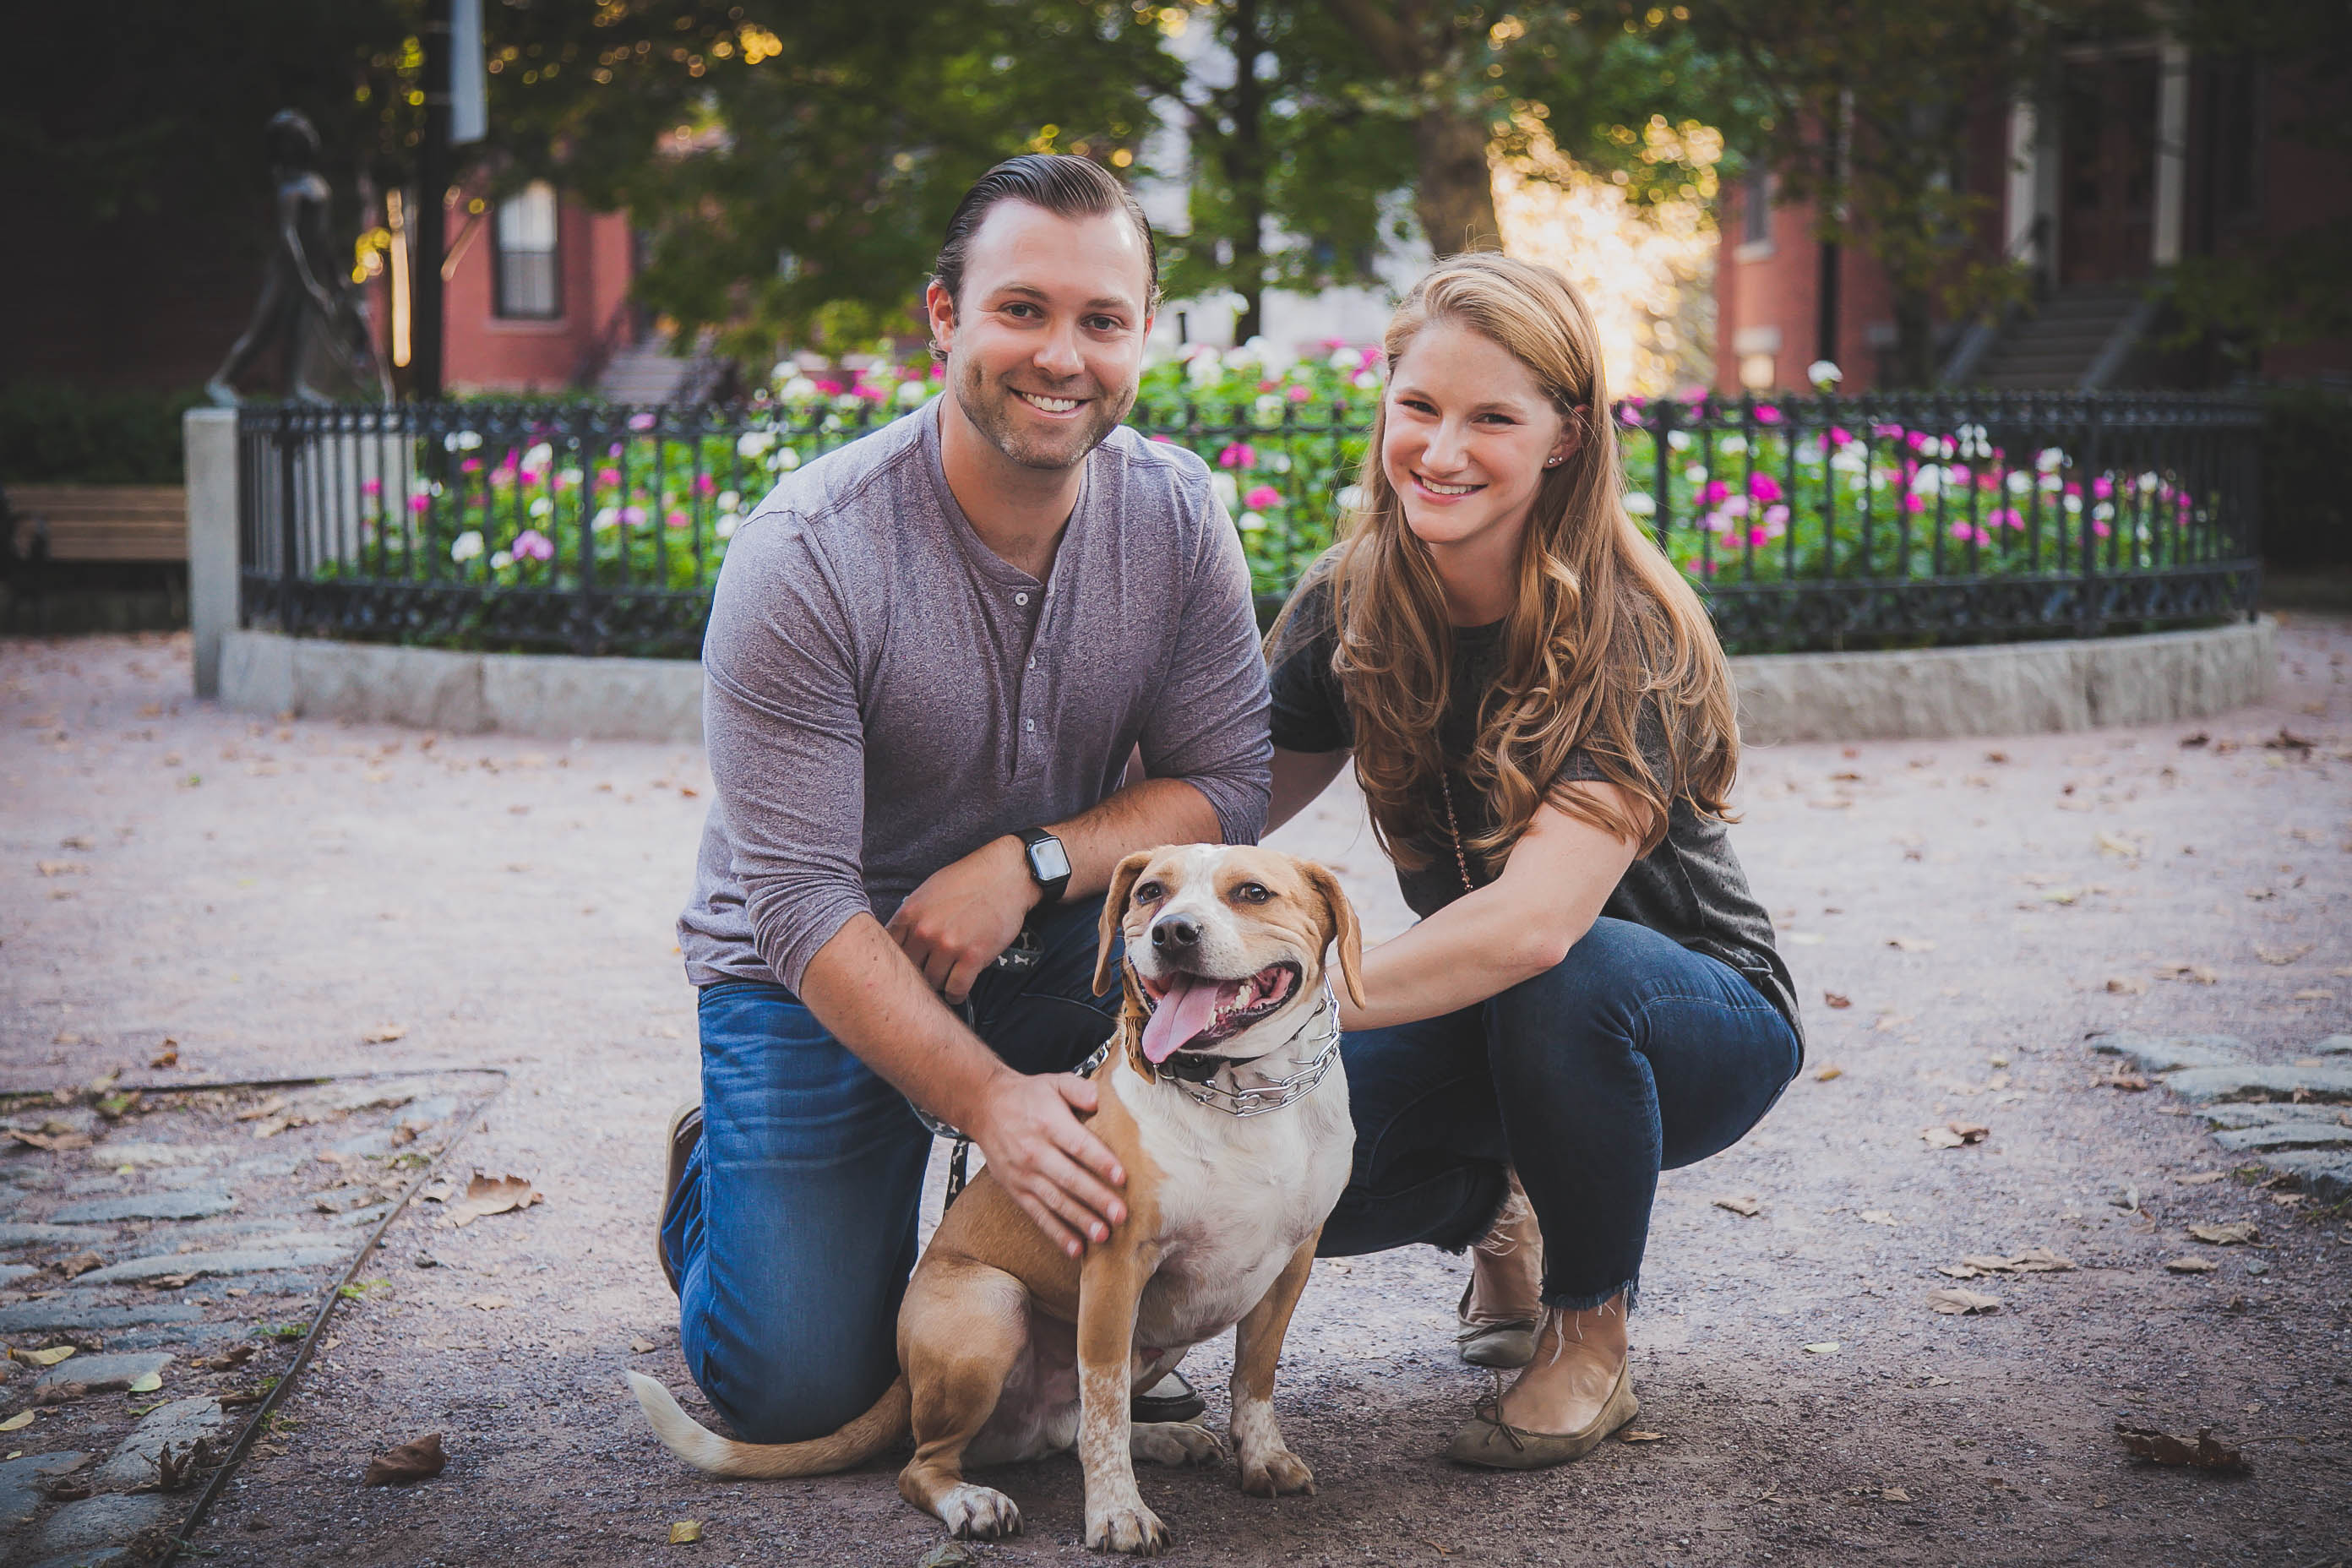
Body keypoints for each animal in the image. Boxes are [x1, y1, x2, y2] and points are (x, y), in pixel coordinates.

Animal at [625, 846, 1373, 1560]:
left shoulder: (1291, 1265)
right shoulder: (1114, 1267)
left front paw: (1263, 1458)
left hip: (1154, 1337)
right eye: (1150, 893)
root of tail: (903, 1376)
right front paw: (1117, 1513)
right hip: (992, 1306)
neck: (1241, 1096)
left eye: (1253, 892)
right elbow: (1105, 1408)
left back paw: (1164, 1440)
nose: (1173, 931)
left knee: (1072, 1430)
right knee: (929, 1465)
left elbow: (1254, 1377)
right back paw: (971, 1500)